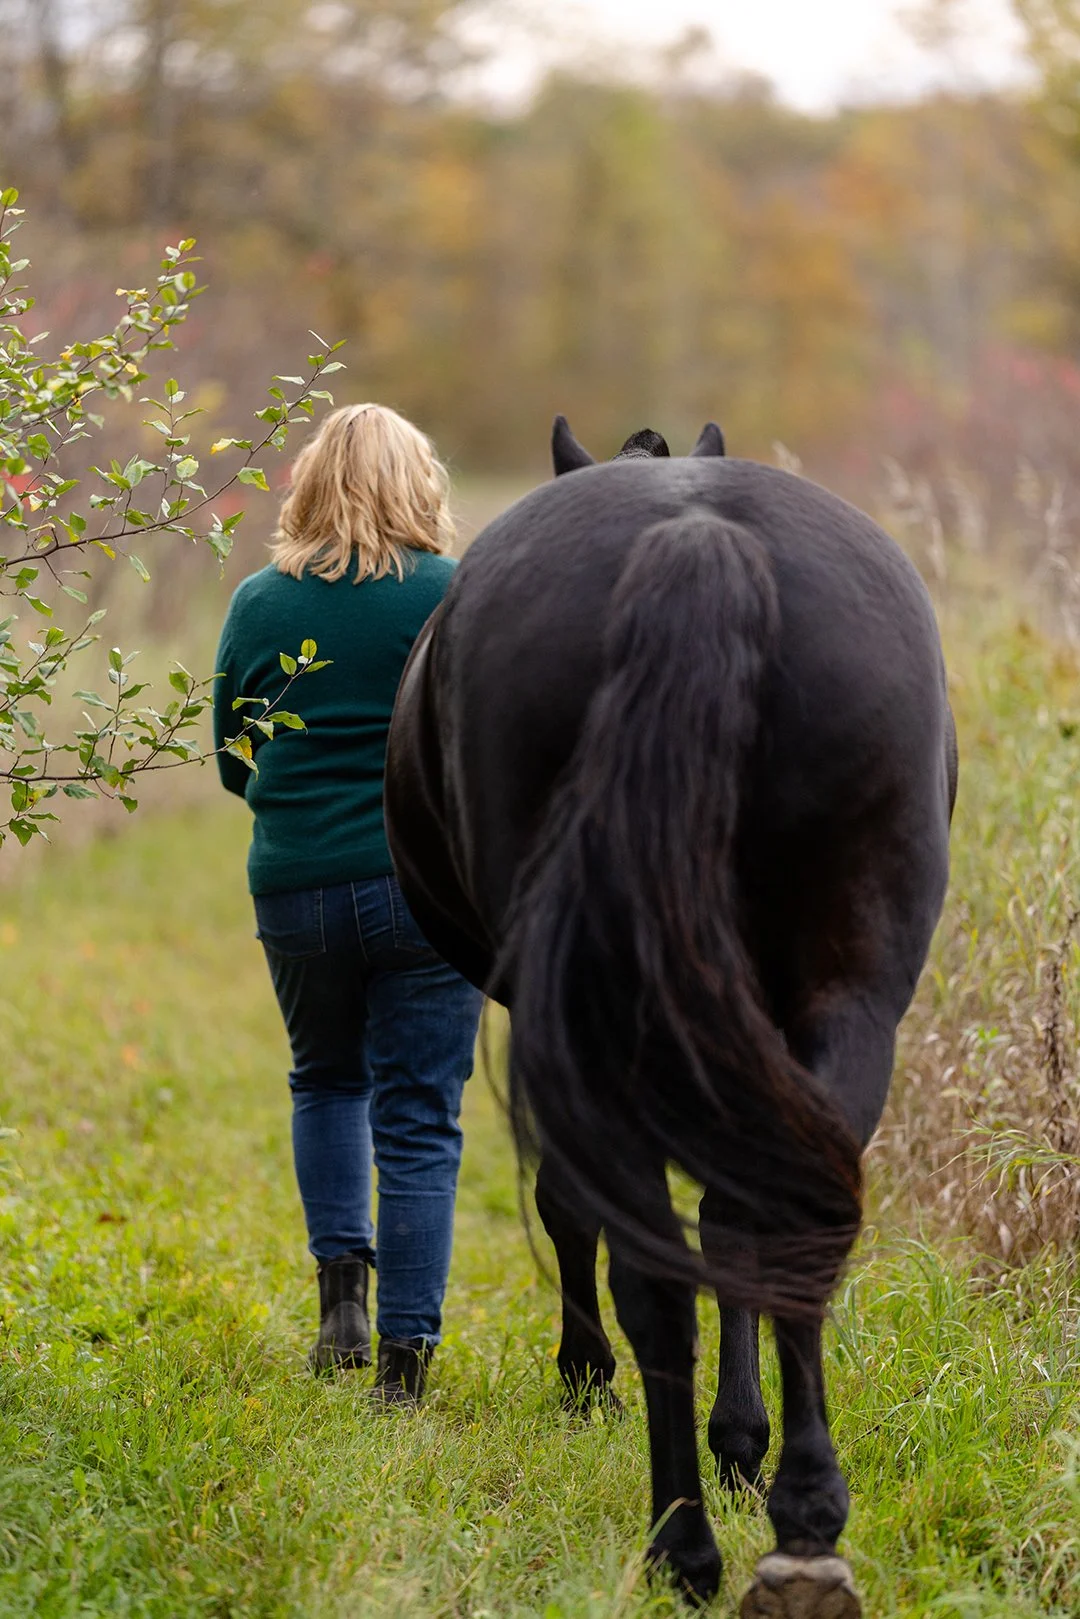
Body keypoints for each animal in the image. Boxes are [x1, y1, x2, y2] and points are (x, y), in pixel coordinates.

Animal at [384, 416, 955, 1616]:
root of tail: (696, 541)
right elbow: (736, 1225)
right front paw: (744, 1443)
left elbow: (576, 1210)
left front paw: (589, 1383)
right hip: (850, 995)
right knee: (787, 1223)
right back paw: (802, 1523)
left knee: (650, 1265)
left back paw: (681, 1542)